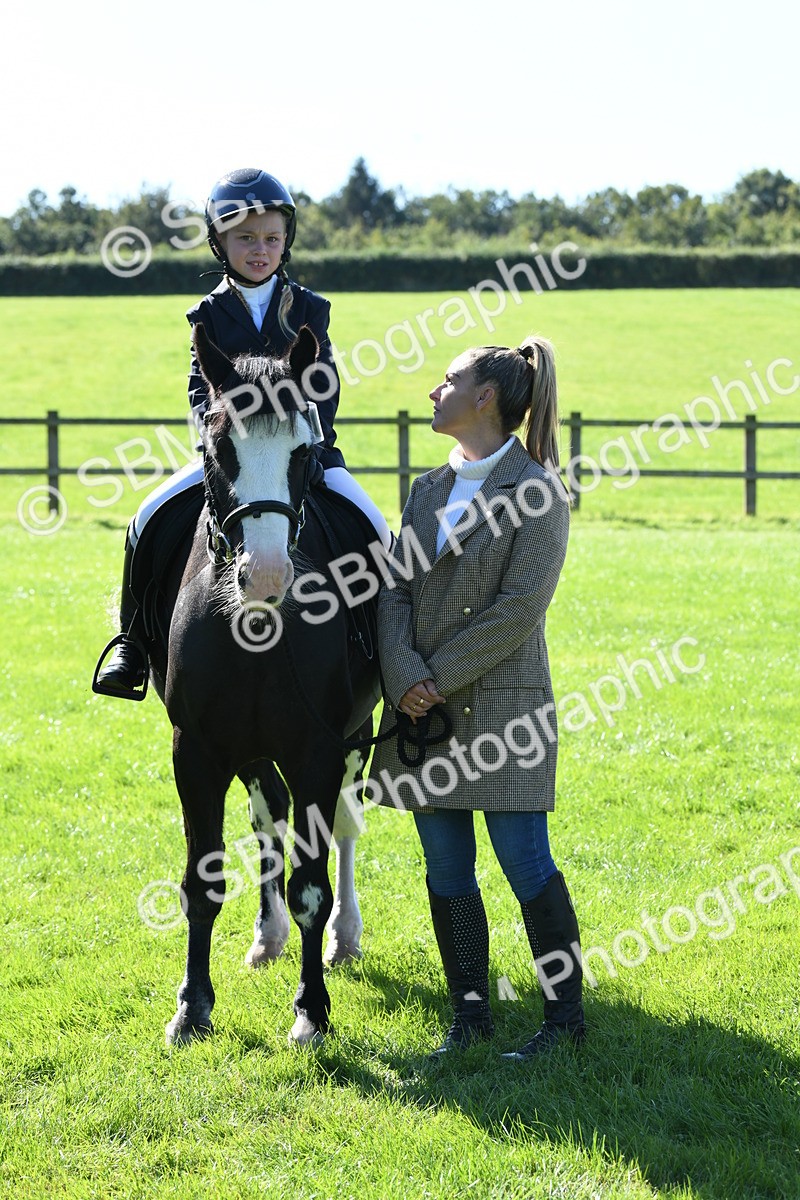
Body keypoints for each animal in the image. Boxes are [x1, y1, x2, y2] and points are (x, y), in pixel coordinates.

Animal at [146, 324, 382, 1046]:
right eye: (217, 448)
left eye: (304, 449)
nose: (270, 575)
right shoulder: (196, 750)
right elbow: (202, 880)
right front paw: (192, 1007)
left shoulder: (319, 749)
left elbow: (312, 884)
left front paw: (312, 1011)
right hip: (249, 750)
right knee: (268, 813)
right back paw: (268, 935)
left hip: (353, 739)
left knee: (344, 827)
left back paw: (344, 938)